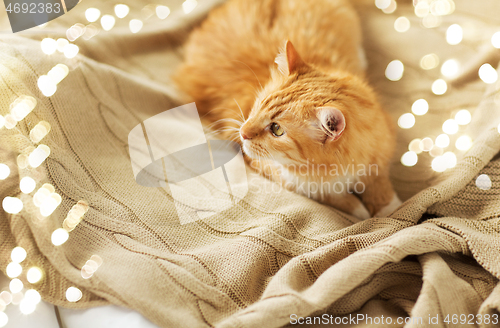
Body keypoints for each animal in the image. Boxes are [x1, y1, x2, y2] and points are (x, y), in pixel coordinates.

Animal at [174, 0, 400, 220]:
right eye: (258, 105)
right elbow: (331, 195)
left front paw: (389, 210)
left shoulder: (379, 151)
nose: (243, 133)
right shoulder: (280, 174)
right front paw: (361, 210)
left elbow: (380, 185)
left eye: (277, 129)